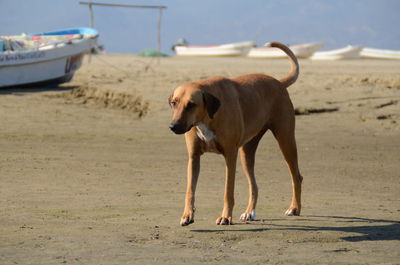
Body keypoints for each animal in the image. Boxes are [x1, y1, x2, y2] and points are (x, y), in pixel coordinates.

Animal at [167, 41, 302, 225]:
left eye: (191, 105)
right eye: (174, 103)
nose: (173, 126)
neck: (208, 116)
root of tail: (279, 83)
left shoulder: (230, 156)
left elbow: (228, 191)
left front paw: (225, 216)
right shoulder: (193, 158)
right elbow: (190, 190)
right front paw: (187, 215)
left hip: (286, 141)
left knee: (296, 176)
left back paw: (294, 208)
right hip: (247, 152)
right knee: (254, 185)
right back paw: (249, 212)